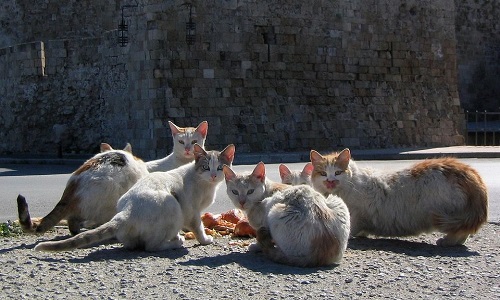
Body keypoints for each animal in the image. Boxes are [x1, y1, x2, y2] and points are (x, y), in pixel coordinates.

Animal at [35, 144, 234, 252]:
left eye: (220, 167)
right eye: (206, 167)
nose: (214, 175)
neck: (207, 185)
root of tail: (125, 213)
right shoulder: (193, 212)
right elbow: (198, 227)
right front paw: (205, 239)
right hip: (172, 204)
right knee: (151, 246)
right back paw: (175, 242)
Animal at [308, 148, 488, 246]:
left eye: (338, 172)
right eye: (323, 173)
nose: (330, 181)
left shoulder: (357, 213)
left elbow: (351, 226)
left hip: (449, 214)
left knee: (461, 230)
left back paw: (446, 241)